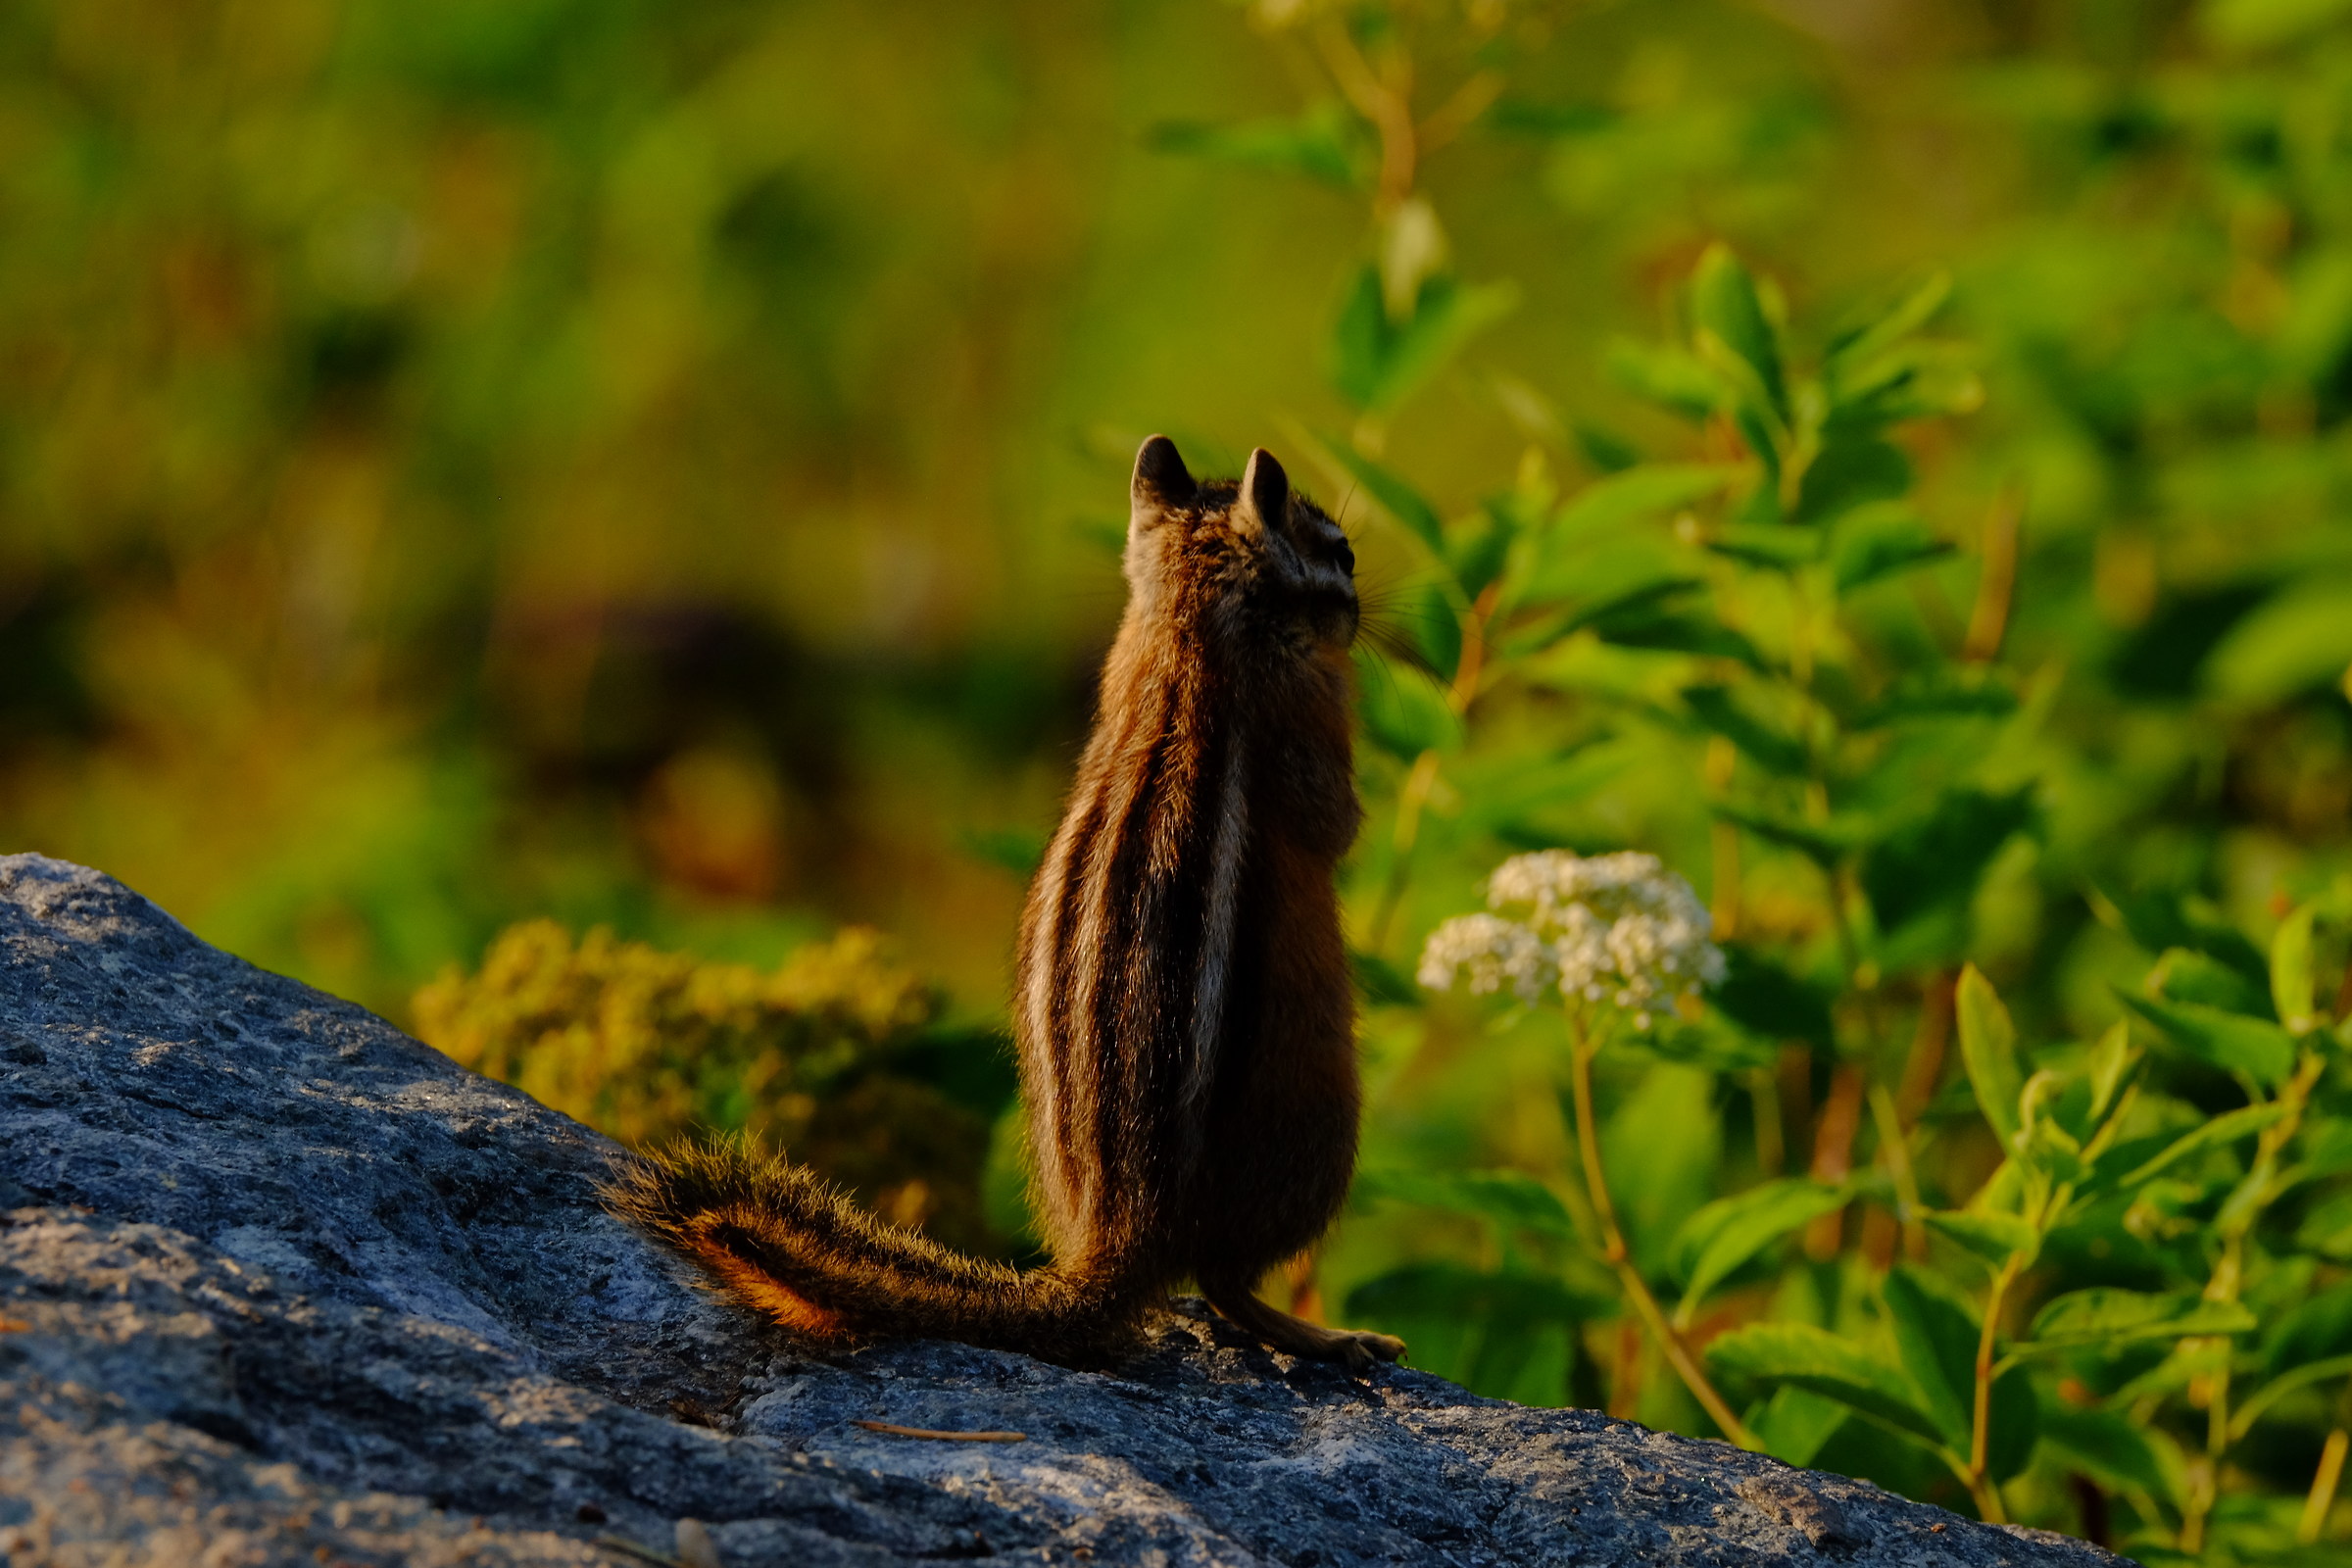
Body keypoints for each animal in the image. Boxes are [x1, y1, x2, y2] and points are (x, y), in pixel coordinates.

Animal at [609, 436, 1406, 1372]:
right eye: (1340, 552)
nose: (1363, 610)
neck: (1187, 630)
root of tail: (1116, 1244)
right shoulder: (1311, 720)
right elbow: (1335, 823)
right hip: (1324, 1131)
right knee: (1225, 1284)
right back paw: (1333, 1337)